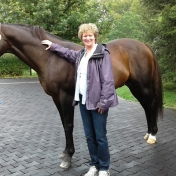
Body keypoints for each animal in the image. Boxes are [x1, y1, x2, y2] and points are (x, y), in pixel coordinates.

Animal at [0, 23, 162, 169]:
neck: (50, 58)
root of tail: (144, 45)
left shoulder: (66, 97)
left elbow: (68, 125)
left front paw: (68, 157)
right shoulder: (56, 98)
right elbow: (64, 124)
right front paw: (65, 152)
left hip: (143, 86)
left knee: (151, 105)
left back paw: (153, 136)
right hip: (134, 86)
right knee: (146, 107)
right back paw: (148, 133)